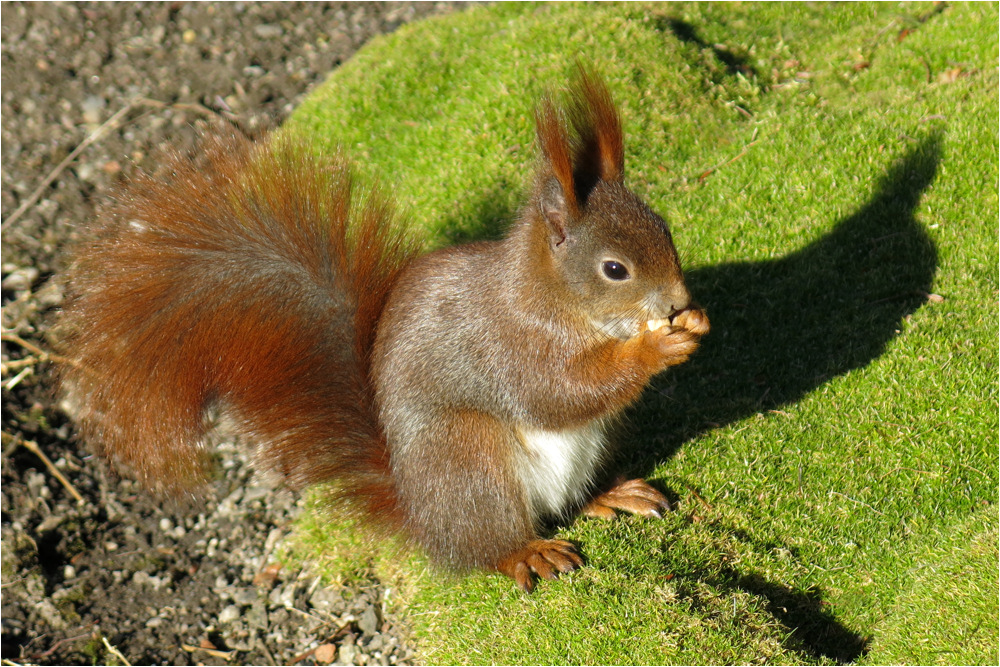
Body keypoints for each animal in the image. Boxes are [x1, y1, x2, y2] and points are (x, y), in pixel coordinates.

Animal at [60, 69, 712, 588]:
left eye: (664, 228)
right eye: (615, 269)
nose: (678, 299)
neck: (551, 300)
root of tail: (424, 520)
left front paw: (694, 319)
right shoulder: (507, 345)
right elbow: (556, 392)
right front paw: (657, 344)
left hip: (584, 450)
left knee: (571, 501)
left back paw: (612, 494)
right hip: (466, 458)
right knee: (487, 546)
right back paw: (526, 553)